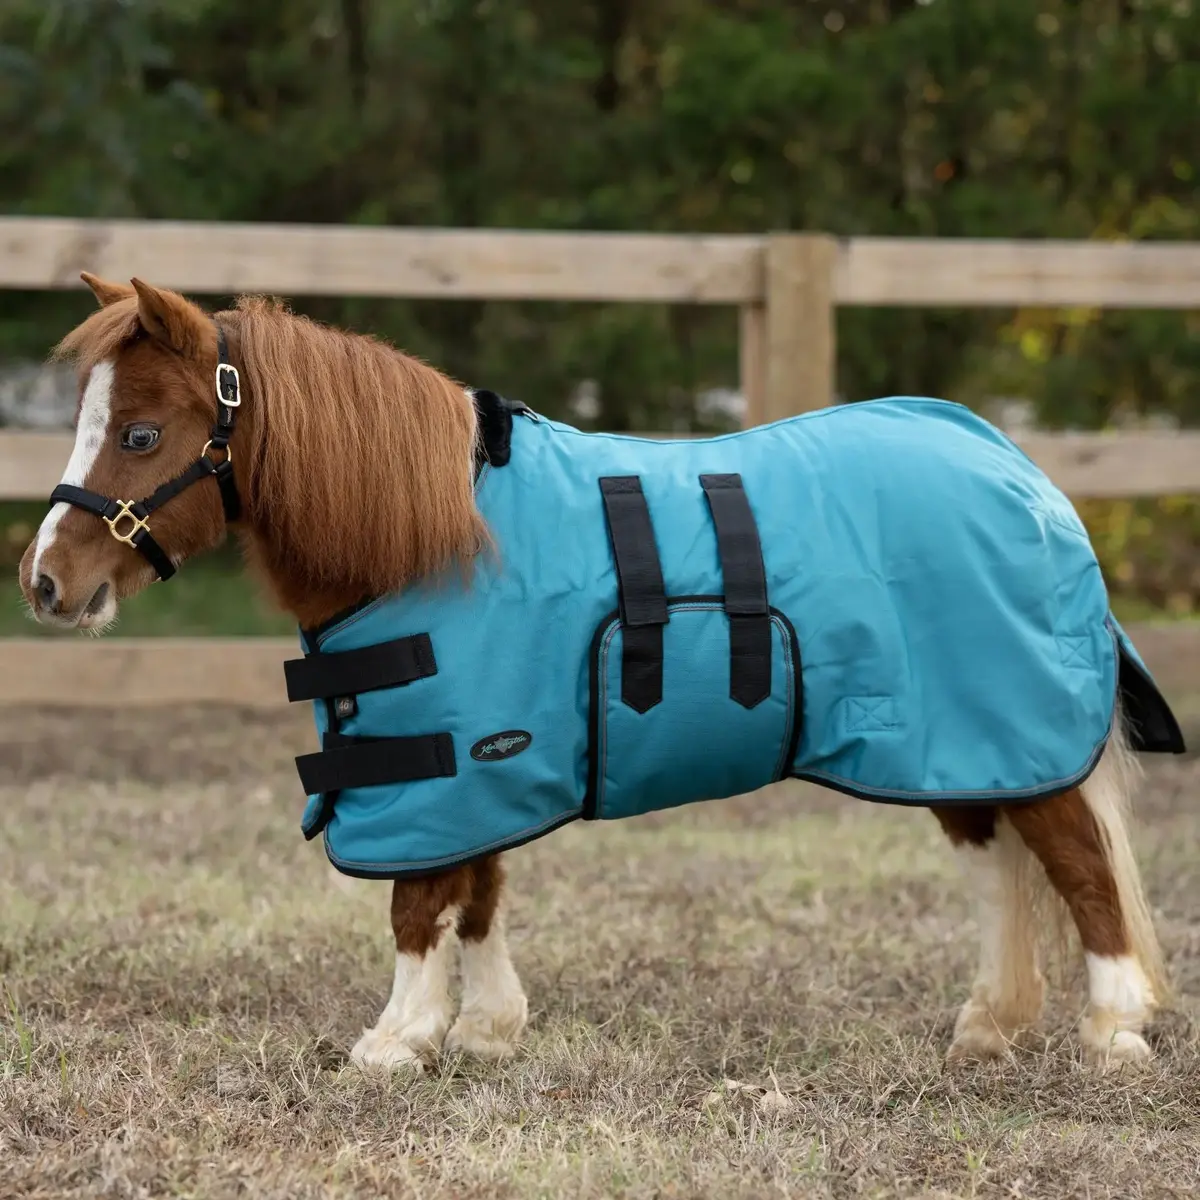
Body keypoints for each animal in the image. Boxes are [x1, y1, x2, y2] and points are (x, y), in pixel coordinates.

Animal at [19, 273, 1184, 1071]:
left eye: (140, 433)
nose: (45, 582)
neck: (433, 532)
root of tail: (1017, 469)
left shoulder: (451, 761)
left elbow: (419, 903)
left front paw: (397, 1039)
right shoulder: (484, 756)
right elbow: (478, 893)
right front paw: (486, 1028)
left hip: (1007, 728)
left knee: (1080, 865)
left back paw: (1115, 1029)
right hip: (948, 747)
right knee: (999, 869)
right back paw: (988, 1022)